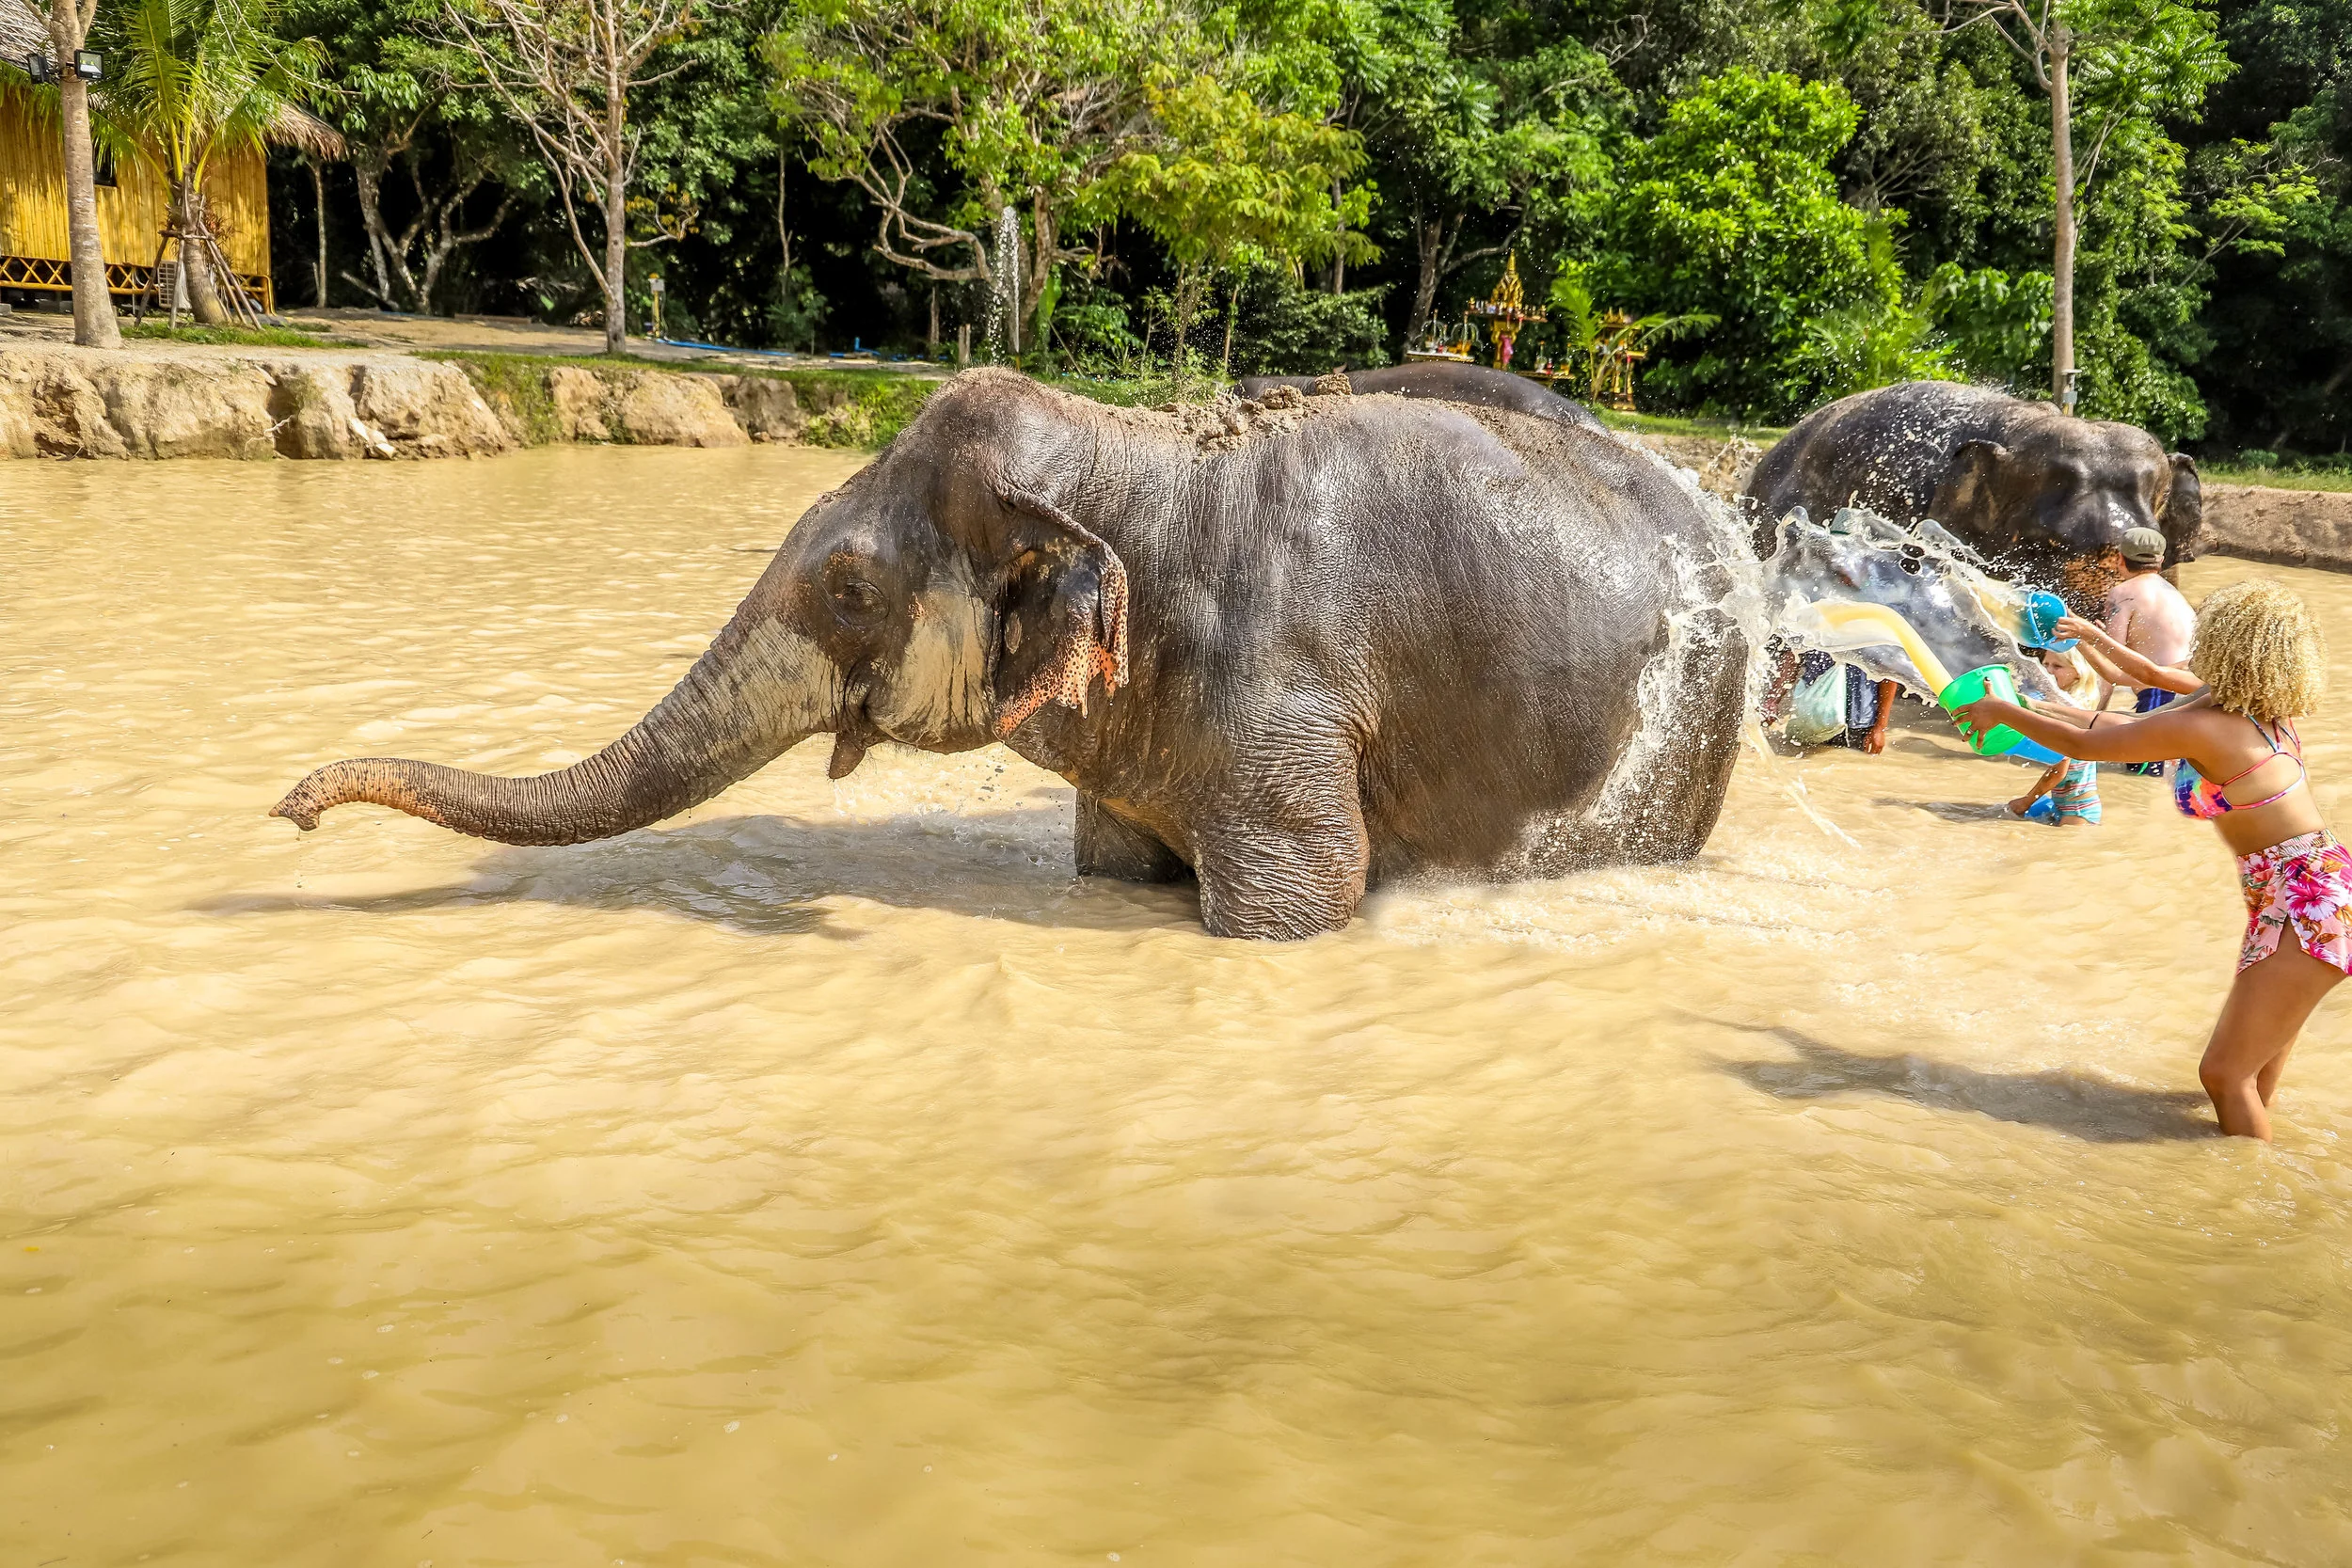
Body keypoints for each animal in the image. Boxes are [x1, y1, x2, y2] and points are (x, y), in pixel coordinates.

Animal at [271, 370, 1748, 940]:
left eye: (848, 584)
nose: (289, 808)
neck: (1137, 453)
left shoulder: (1288, 705)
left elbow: (1302, 901)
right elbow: (1111, 868)